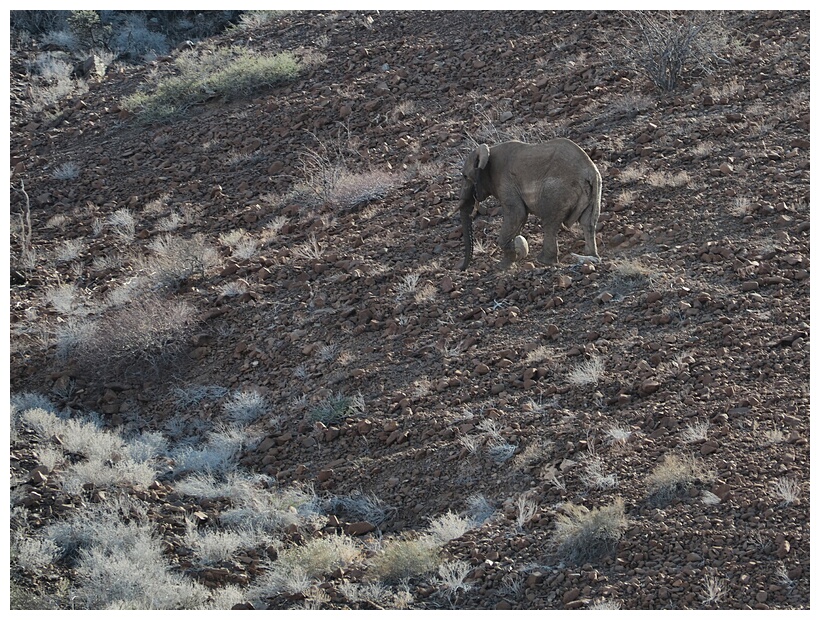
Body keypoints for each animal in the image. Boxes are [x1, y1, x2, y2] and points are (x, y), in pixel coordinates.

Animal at [454, 139, 604, 270]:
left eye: (465, 176)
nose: (462, 269)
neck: (489, 151)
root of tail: (590, 171)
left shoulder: (505, 182)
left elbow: (517, 214)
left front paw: (505, 265)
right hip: (594, 191)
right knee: (588, 222)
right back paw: (591, 256)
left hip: (558, 191)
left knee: (550, 223)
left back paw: (543, 261)